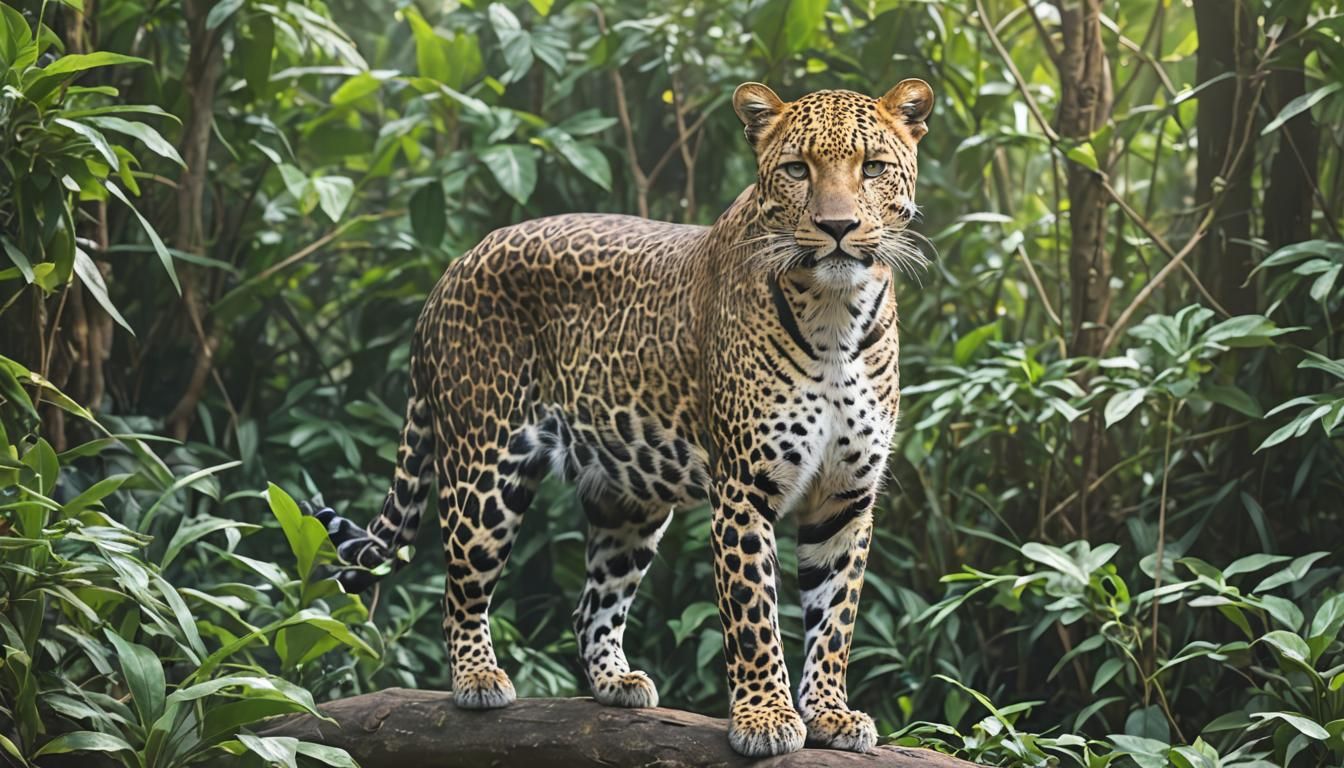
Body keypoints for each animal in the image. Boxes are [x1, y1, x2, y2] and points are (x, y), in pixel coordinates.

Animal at [305, 78, 934, 757]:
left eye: (872, 168)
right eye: (797, 170)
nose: (838, 227)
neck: (836, 316)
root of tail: (453, 268)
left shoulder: (845, 498)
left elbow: (835, 618)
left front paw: (830, 714)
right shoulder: (745, 490)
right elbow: (753, 616)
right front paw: (765, 716)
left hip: (627, 496)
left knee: (592, 605)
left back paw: (615, 683)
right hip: (486, 469)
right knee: (460, 587)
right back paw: (477, 678)